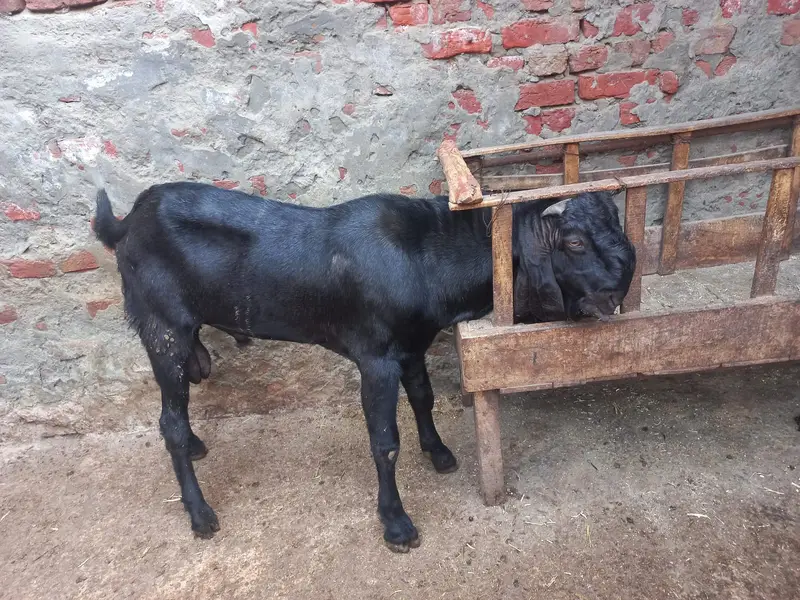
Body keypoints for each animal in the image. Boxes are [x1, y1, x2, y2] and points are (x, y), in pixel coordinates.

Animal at [94, 183, 635, 552]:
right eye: (574, 243)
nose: (618, 288)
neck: (425, 254)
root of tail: (127, 220)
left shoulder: (412, 345)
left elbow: (423, 398)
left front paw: (439, 453)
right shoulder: (376, 359)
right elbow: (385, 442)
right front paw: (396, 523)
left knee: (178, 412)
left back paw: (198, 447)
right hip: (163, 327)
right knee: (168, 420)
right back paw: (200, 513)